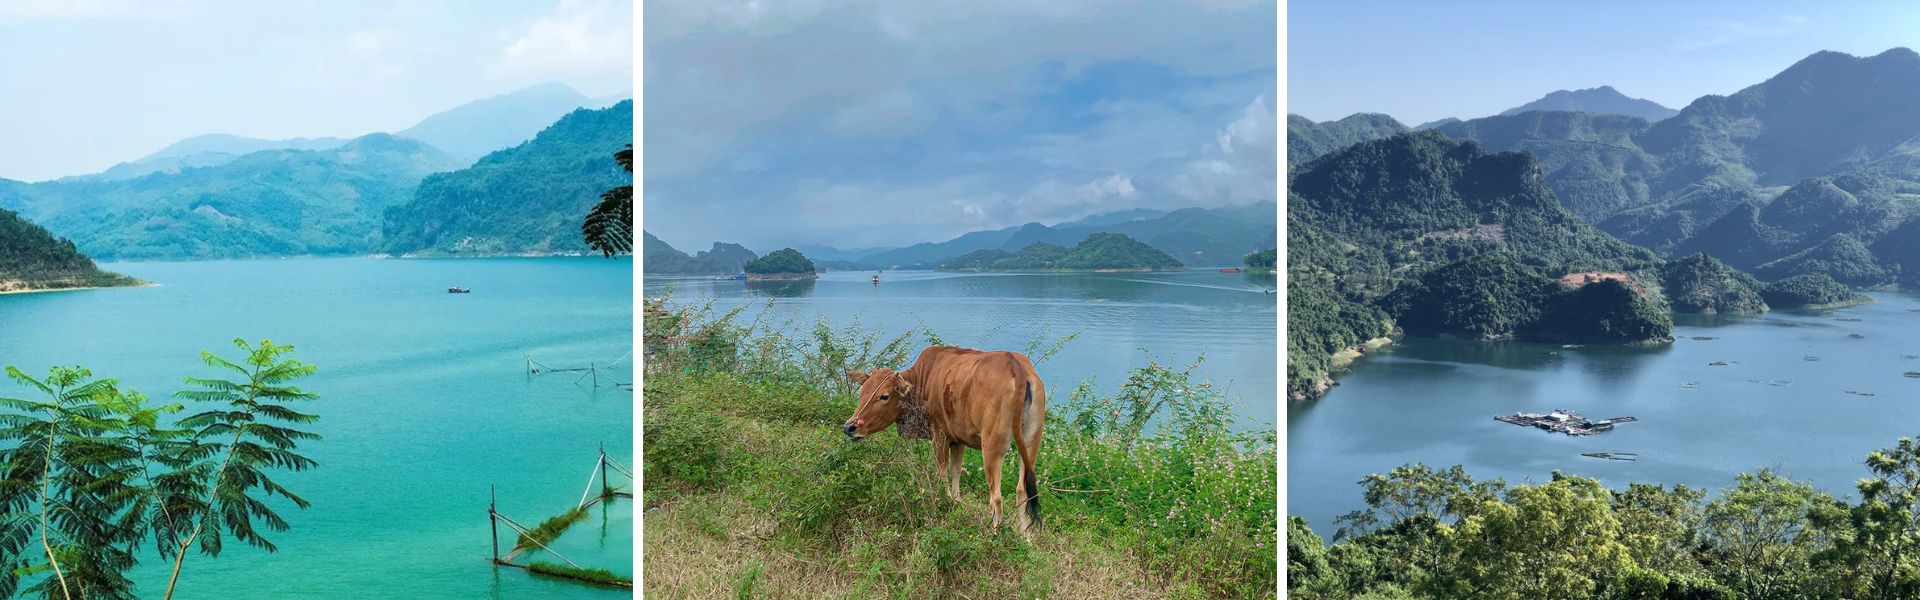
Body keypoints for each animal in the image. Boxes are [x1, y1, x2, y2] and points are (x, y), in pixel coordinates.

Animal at [844, 346, 1052, 534]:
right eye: (862, 391)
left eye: (884, 396)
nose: (850, 427)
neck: (923, 380)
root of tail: (1017, 368)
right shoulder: (958, 439)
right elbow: (956, 472)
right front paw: (955, 502)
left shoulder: (940, 435)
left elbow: (941, 474)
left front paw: (943, 504)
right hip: (1031, 442)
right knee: (1022, 491)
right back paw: (1026, 538)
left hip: (992, 446)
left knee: (997, 498)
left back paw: (994, 536)